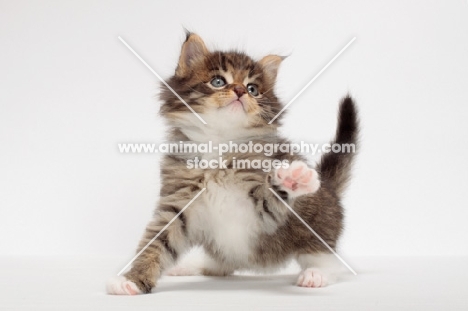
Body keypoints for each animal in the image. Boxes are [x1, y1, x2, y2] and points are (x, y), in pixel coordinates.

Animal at [107, 31, 358, 294]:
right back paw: (190, 265)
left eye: (253, 88)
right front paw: (132, 279)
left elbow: (272, 197)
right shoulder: (178, 202)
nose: (240, 90)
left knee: (327, 259)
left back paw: (316, 274)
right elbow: (156, 243)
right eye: (218, 81)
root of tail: (328, 187)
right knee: (219, 264)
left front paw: (291, 179)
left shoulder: (257, 212)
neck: (219, 143)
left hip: (317, 227)